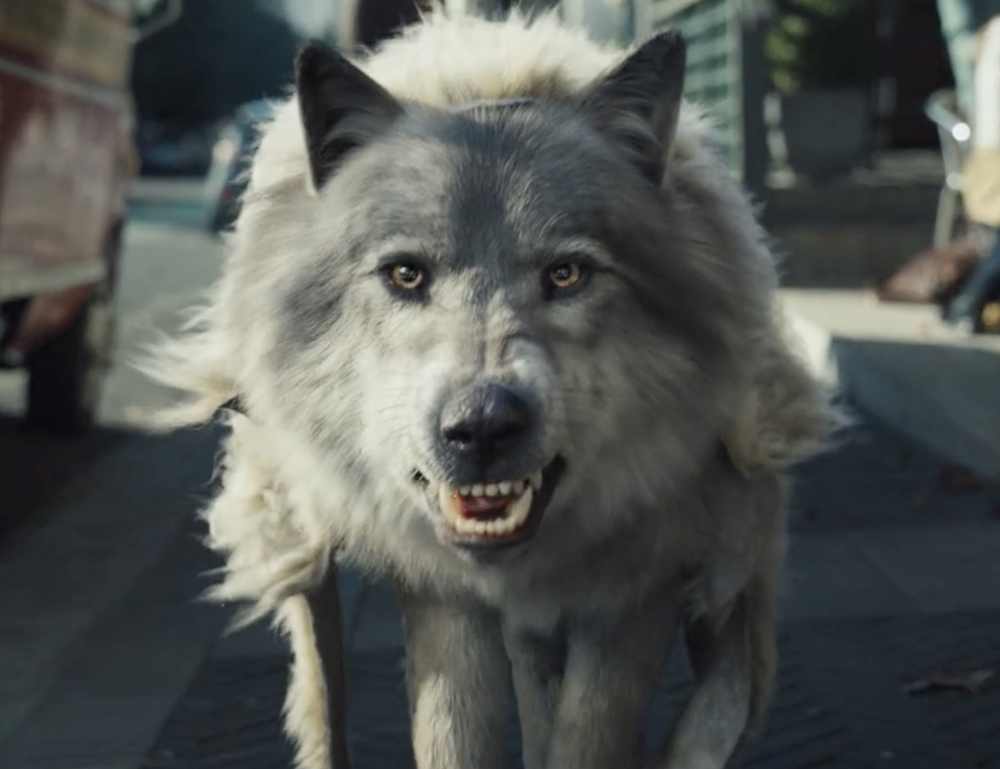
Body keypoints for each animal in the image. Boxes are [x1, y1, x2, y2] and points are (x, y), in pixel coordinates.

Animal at [143, 8, 842, 769]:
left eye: (567, 274)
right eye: (405, 274)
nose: (480, 427)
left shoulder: (641, 590)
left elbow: (594, 738)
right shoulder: (441, 597)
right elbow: (451, 738)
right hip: (297, 545)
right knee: (323, 692)